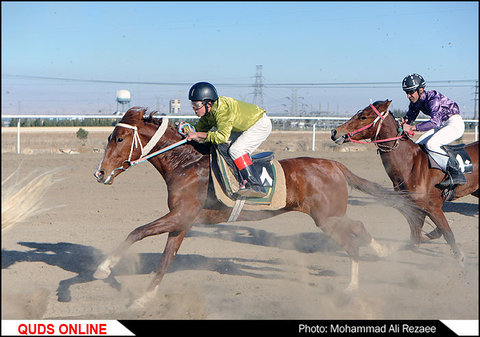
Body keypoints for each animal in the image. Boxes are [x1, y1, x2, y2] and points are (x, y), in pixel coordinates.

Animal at [94, 106, 424, 306]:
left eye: (119, 138)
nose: (99, 173)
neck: (185, 163)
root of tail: (334, 164)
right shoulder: (182, 221)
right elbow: (164, 260)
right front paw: (144, 299)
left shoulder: (180, 215)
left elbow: (137, 232)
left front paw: (102, 268)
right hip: (329, 216)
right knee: (358, 229)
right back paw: (374, 261)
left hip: (327, 217)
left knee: (354, 235)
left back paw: (363, 273)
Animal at [332, 98, 478, 264]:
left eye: (363, 117)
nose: (335, 132)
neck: (411, 164)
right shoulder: (413, 207)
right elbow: (415, 237)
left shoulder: (433, 208)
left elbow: (446, 232)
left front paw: (459, 257)